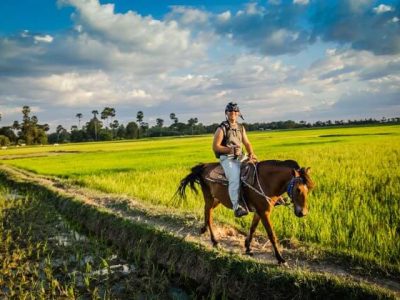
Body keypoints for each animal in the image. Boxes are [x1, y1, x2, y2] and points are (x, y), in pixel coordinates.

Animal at [177, 161, 314, 264]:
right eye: (298, 189)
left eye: (309, 189)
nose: (303, 213)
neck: (266, 182)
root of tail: (204, 166)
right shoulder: (264, 212)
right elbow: (271, 235)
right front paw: (280, 258)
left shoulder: (259, 211)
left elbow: (252, 228)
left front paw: (247, 246)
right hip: (209, 197)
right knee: (209, 215)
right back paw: (214, 240)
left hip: (216, 200)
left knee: (206, 212)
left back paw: (204, 229)